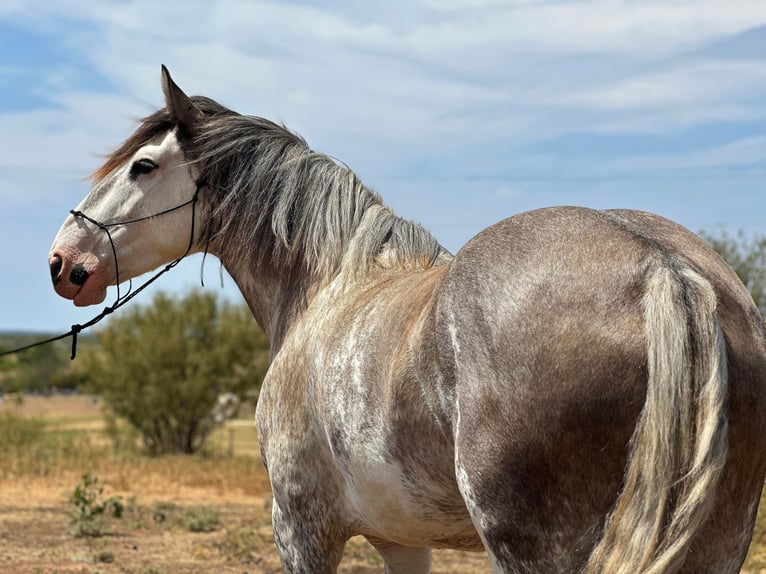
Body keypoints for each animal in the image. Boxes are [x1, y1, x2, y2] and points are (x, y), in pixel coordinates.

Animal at [49, 66, 766, 572]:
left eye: (143, 166)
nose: (64, 260)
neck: (328, 285)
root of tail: (661, 267)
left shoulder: (301, 531)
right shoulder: (401, 542)